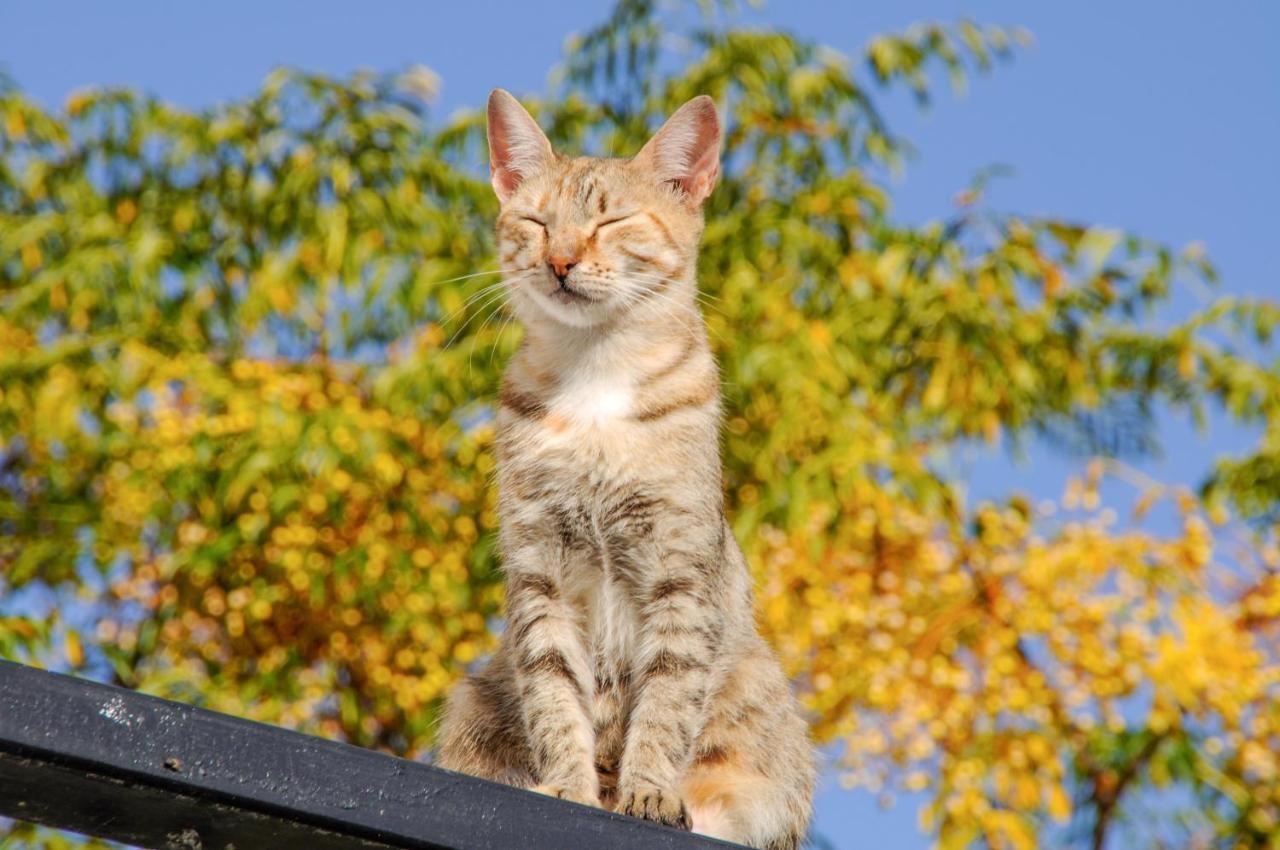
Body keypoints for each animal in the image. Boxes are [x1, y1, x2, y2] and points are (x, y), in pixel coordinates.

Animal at [435, 89, 814, 850]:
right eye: (536, 222)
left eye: (610, 221)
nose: (559, 260)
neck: (595, 376)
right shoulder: (539, 570)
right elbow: (554, 692)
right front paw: (569, 788)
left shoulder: (678, 571)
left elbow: (667, 699)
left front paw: (647, 793)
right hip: (473, 696)